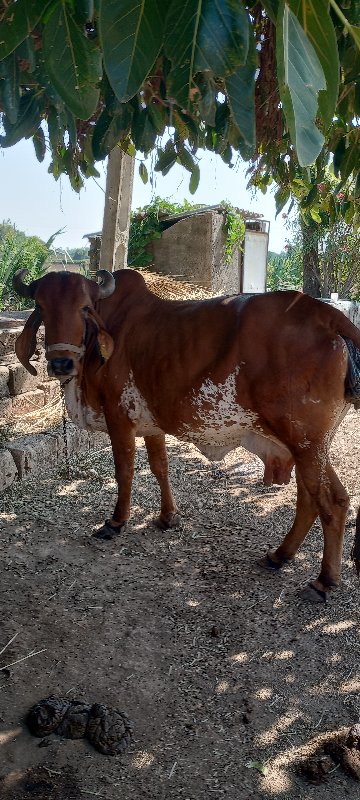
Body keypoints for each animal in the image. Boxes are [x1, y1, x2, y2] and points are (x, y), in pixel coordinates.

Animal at [13, 268, 360, 600]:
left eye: (84, 307)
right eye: (40, 306)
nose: (61, 363)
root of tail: (327, 315)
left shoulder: (118, 417)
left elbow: (124, 471)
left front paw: (116, 521)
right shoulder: (151, 424)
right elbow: (160, 467)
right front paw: (168, 517)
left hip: (304, 441)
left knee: (328, 502)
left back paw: (323, 581)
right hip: (307, 446)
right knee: (320, 499)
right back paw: (280, 555)